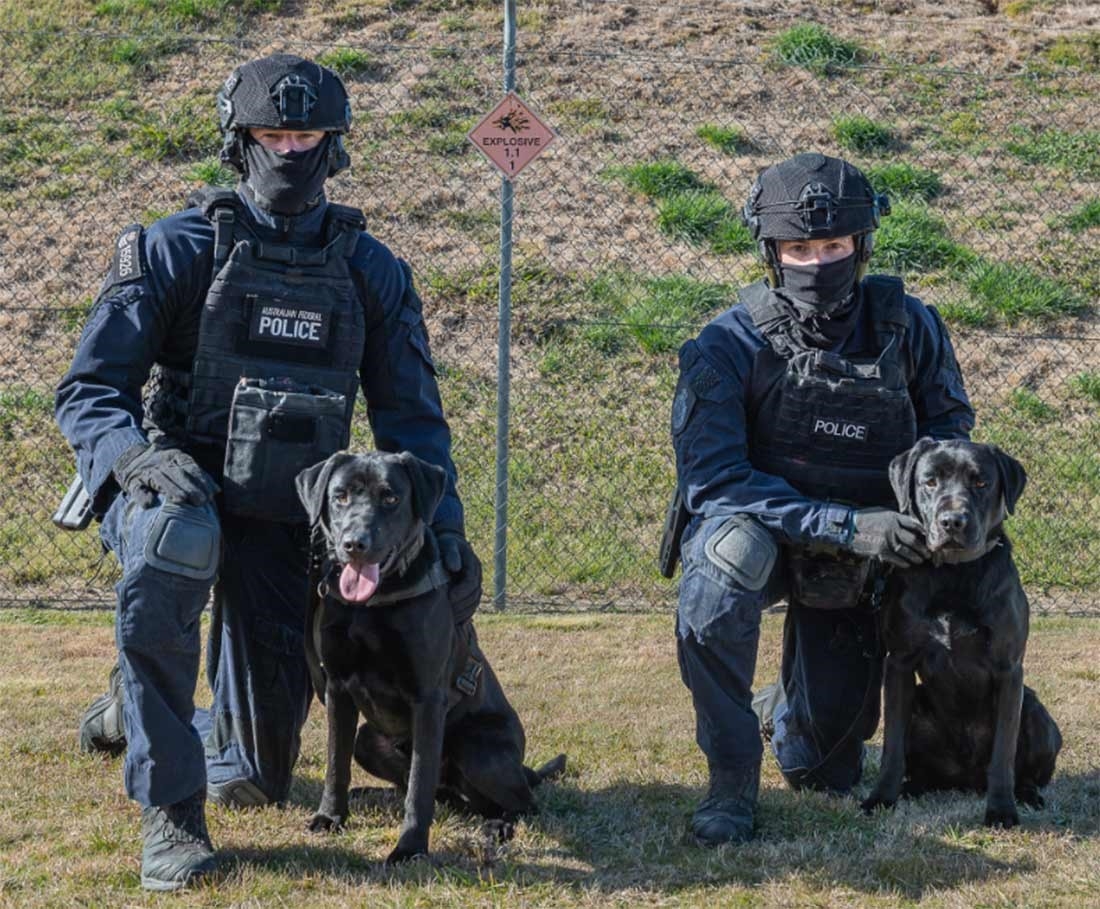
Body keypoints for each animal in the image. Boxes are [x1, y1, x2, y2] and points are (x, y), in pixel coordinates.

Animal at [294, 448, 563, 862]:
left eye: (391, 497)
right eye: (340, 496)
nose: (355, 543)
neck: (372, 605)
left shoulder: (427, 699)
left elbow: (420, 783)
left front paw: (410, 847)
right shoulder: (338, 687)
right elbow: (336, 763)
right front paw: (330, 816)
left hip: (478, 748)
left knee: (521, 804)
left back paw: (498, 826)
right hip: (368, 740)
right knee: (426, 789)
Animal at [862, 435, 1060, 823]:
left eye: (981, 482)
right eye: (929, 481)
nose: (952, 521)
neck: (954, 573)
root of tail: (966, 780)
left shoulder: (1009, 669)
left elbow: (1003, 754)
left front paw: (1001, 810)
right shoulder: (899, 663)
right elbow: (892, 747)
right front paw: (881, 798)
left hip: (1036, 711)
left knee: (1025, 769)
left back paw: (1027, 795)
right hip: (919, 706)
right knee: (920, 768)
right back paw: (911, 788)